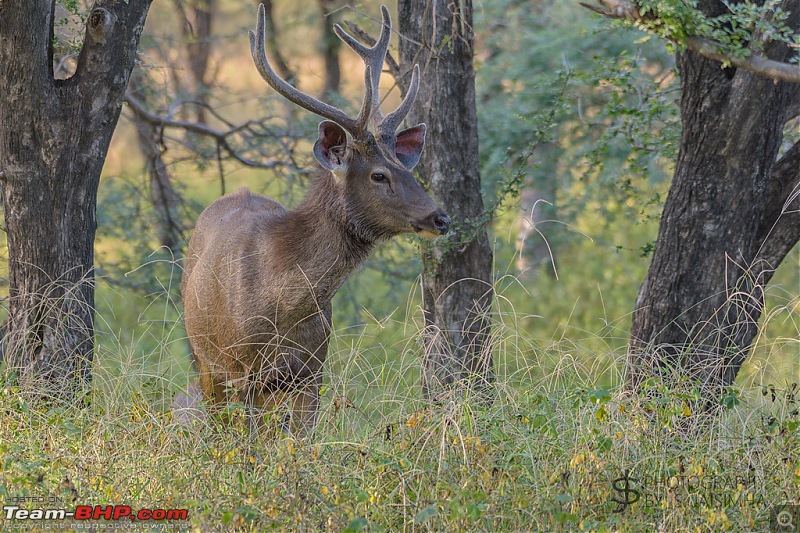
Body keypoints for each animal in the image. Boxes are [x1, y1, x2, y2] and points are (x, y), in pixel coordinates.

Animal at [180, 6, 450, 434]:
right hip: (203, 357)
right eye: (379, 175)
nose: (440, 218)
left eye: (407, 169)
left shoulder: (311, 369)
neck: (282, 306)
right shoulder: (241, 369)